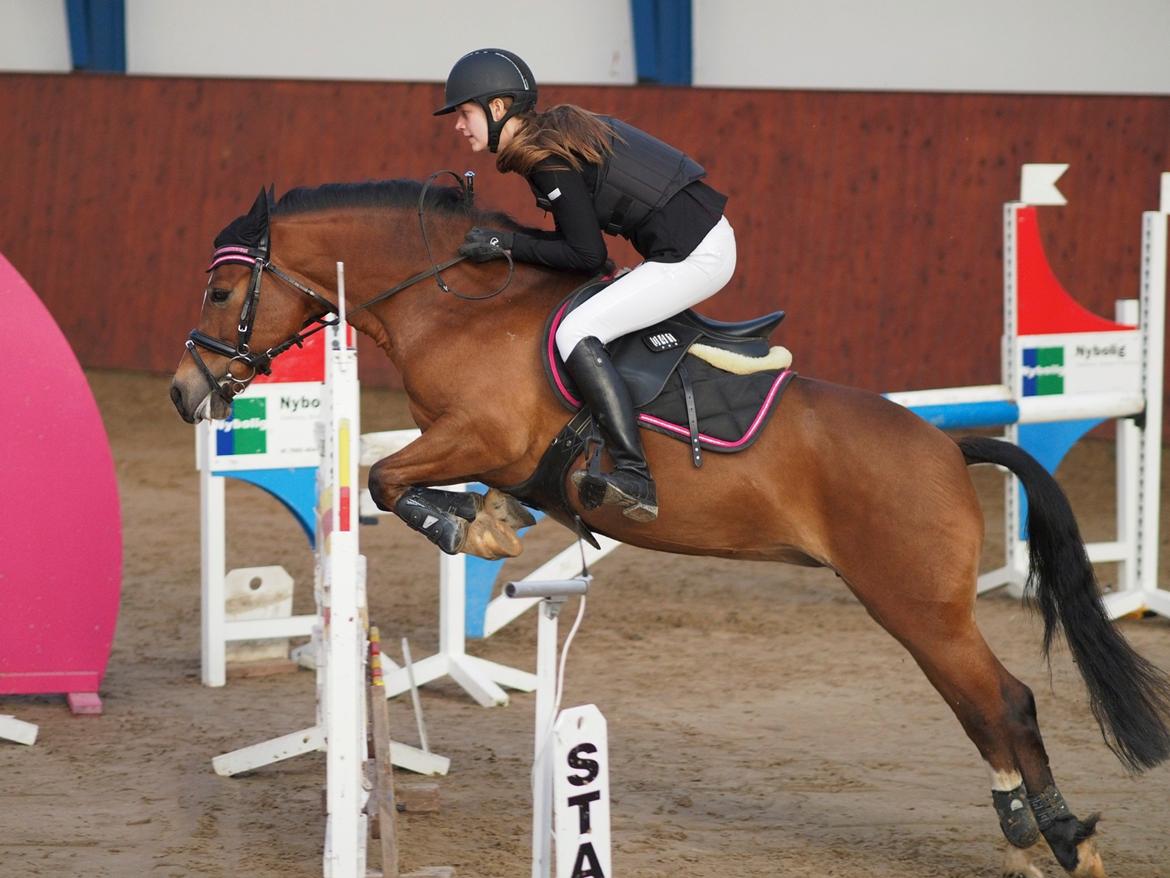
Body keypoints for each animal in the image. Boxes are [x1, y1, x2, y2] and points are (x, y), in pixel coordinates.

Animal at [170, 180, 1170, 878]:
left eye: (221, 291)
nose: (185, 394)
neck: (456, 303)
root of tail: (949, 446)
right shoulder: (478, 448)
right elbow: (408, 480)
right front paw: (486, 521)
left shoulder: (481, 435)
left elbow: (384, 477)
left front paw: (470, 528)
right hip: (915, 610)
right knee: (982, 708)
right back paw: (1024, 834)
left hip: (919, 606)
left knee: (1005, 703)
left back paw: (1066, 840)